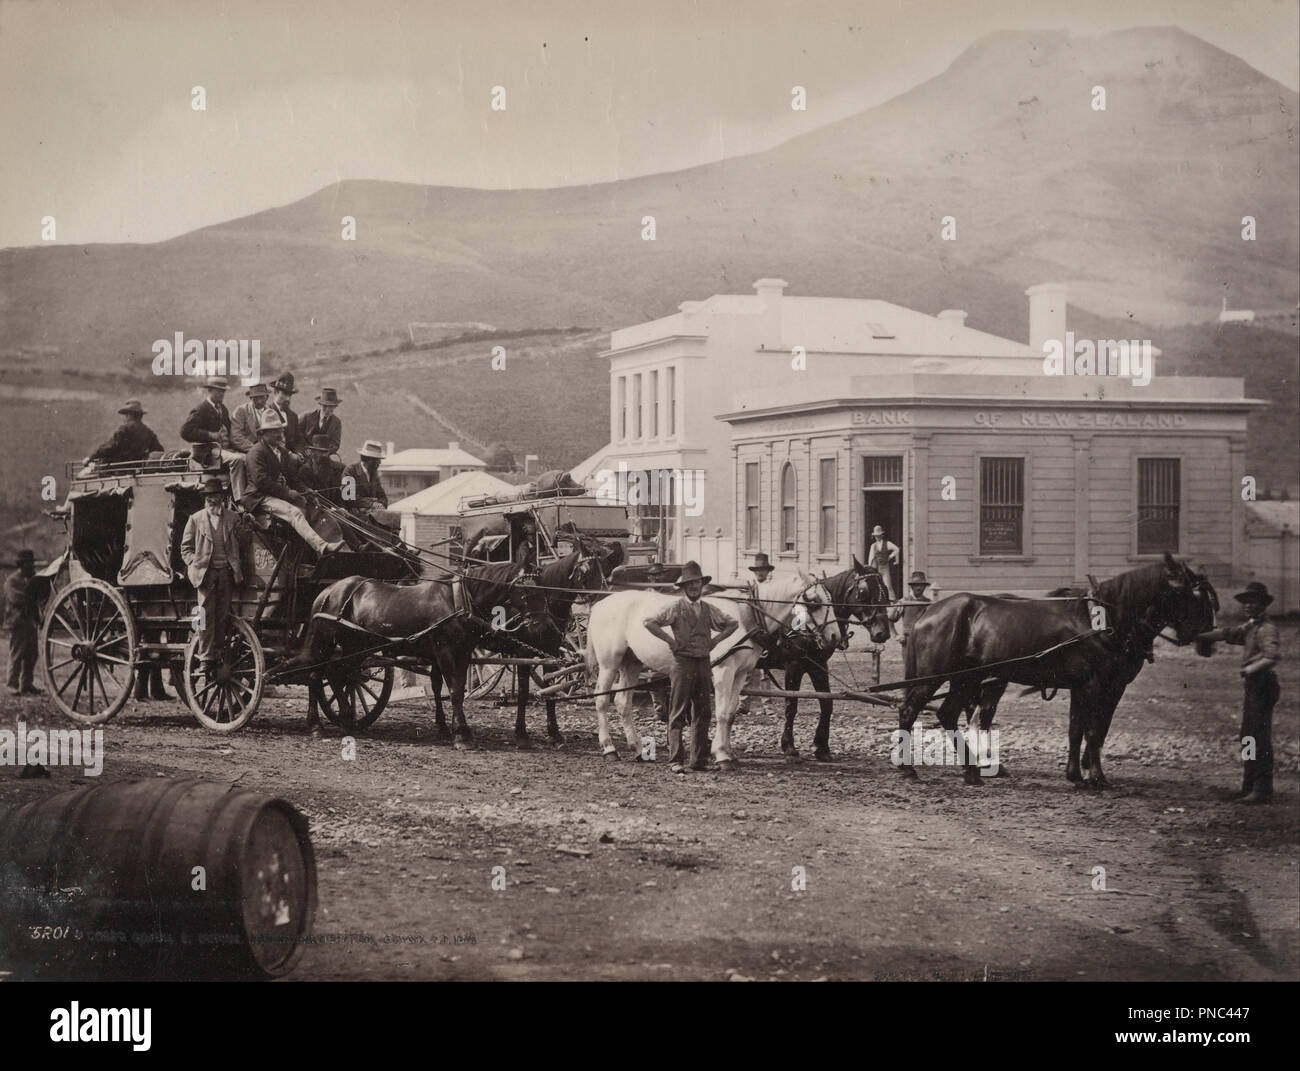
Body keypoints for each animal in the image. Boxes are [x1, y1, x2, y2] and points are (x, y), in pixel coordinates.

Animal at [282, 556, 530, 748]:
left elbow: (446, 687)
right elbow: (455, 691)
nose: (530, 625)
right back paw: (319, 725)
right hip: (325, 642)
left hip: (356, 646)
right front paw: (461, 735)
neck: (458, 599)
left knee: (337, 675)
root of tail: (327, 591)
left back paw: (345, 720)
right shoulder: (445, 651)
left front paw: (447, 728)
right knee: (317, 676)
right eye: (527, 588)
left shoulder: (461, 654)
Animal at [585, 571, 837, 764]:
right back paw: (609, 748)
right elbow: (723, 712)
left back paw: (637, 747)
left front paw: (726, 751)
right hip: (609, 663)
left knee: (622, 702)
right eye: (815, 601)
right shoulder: (724, 671)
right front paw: (722, 755)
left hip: (631, 662)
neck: (748, 616)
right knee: (602, 700)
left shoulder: (741, 673)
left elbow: (732, 712)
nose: (835, 636)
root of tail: (600, 604)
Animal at [759, 561, 899, 759]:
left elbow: (827, 703)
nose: (883, 632)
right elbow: (791, 705)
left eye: (886, 591)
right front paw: (789, 746)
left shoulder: (818, 665)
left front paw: (821, 747)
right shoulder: (794, 666)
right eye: (863, 592)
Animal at [894, 551, 1216, 785]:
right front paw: (1096, 777)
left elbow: (1078, 728)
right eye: (1192, 595)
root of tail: (929, 611)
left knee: (949, 714)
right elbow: (1094, 730)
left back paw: (971, 771)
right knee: (910, 711)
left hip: (968, 678)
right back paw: (908, 768)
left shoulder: (1090, 686)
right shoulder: (1098, 685)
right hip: (936, 677)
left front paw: (1075, 774)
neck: (1103, 621)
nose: (1206, 641)